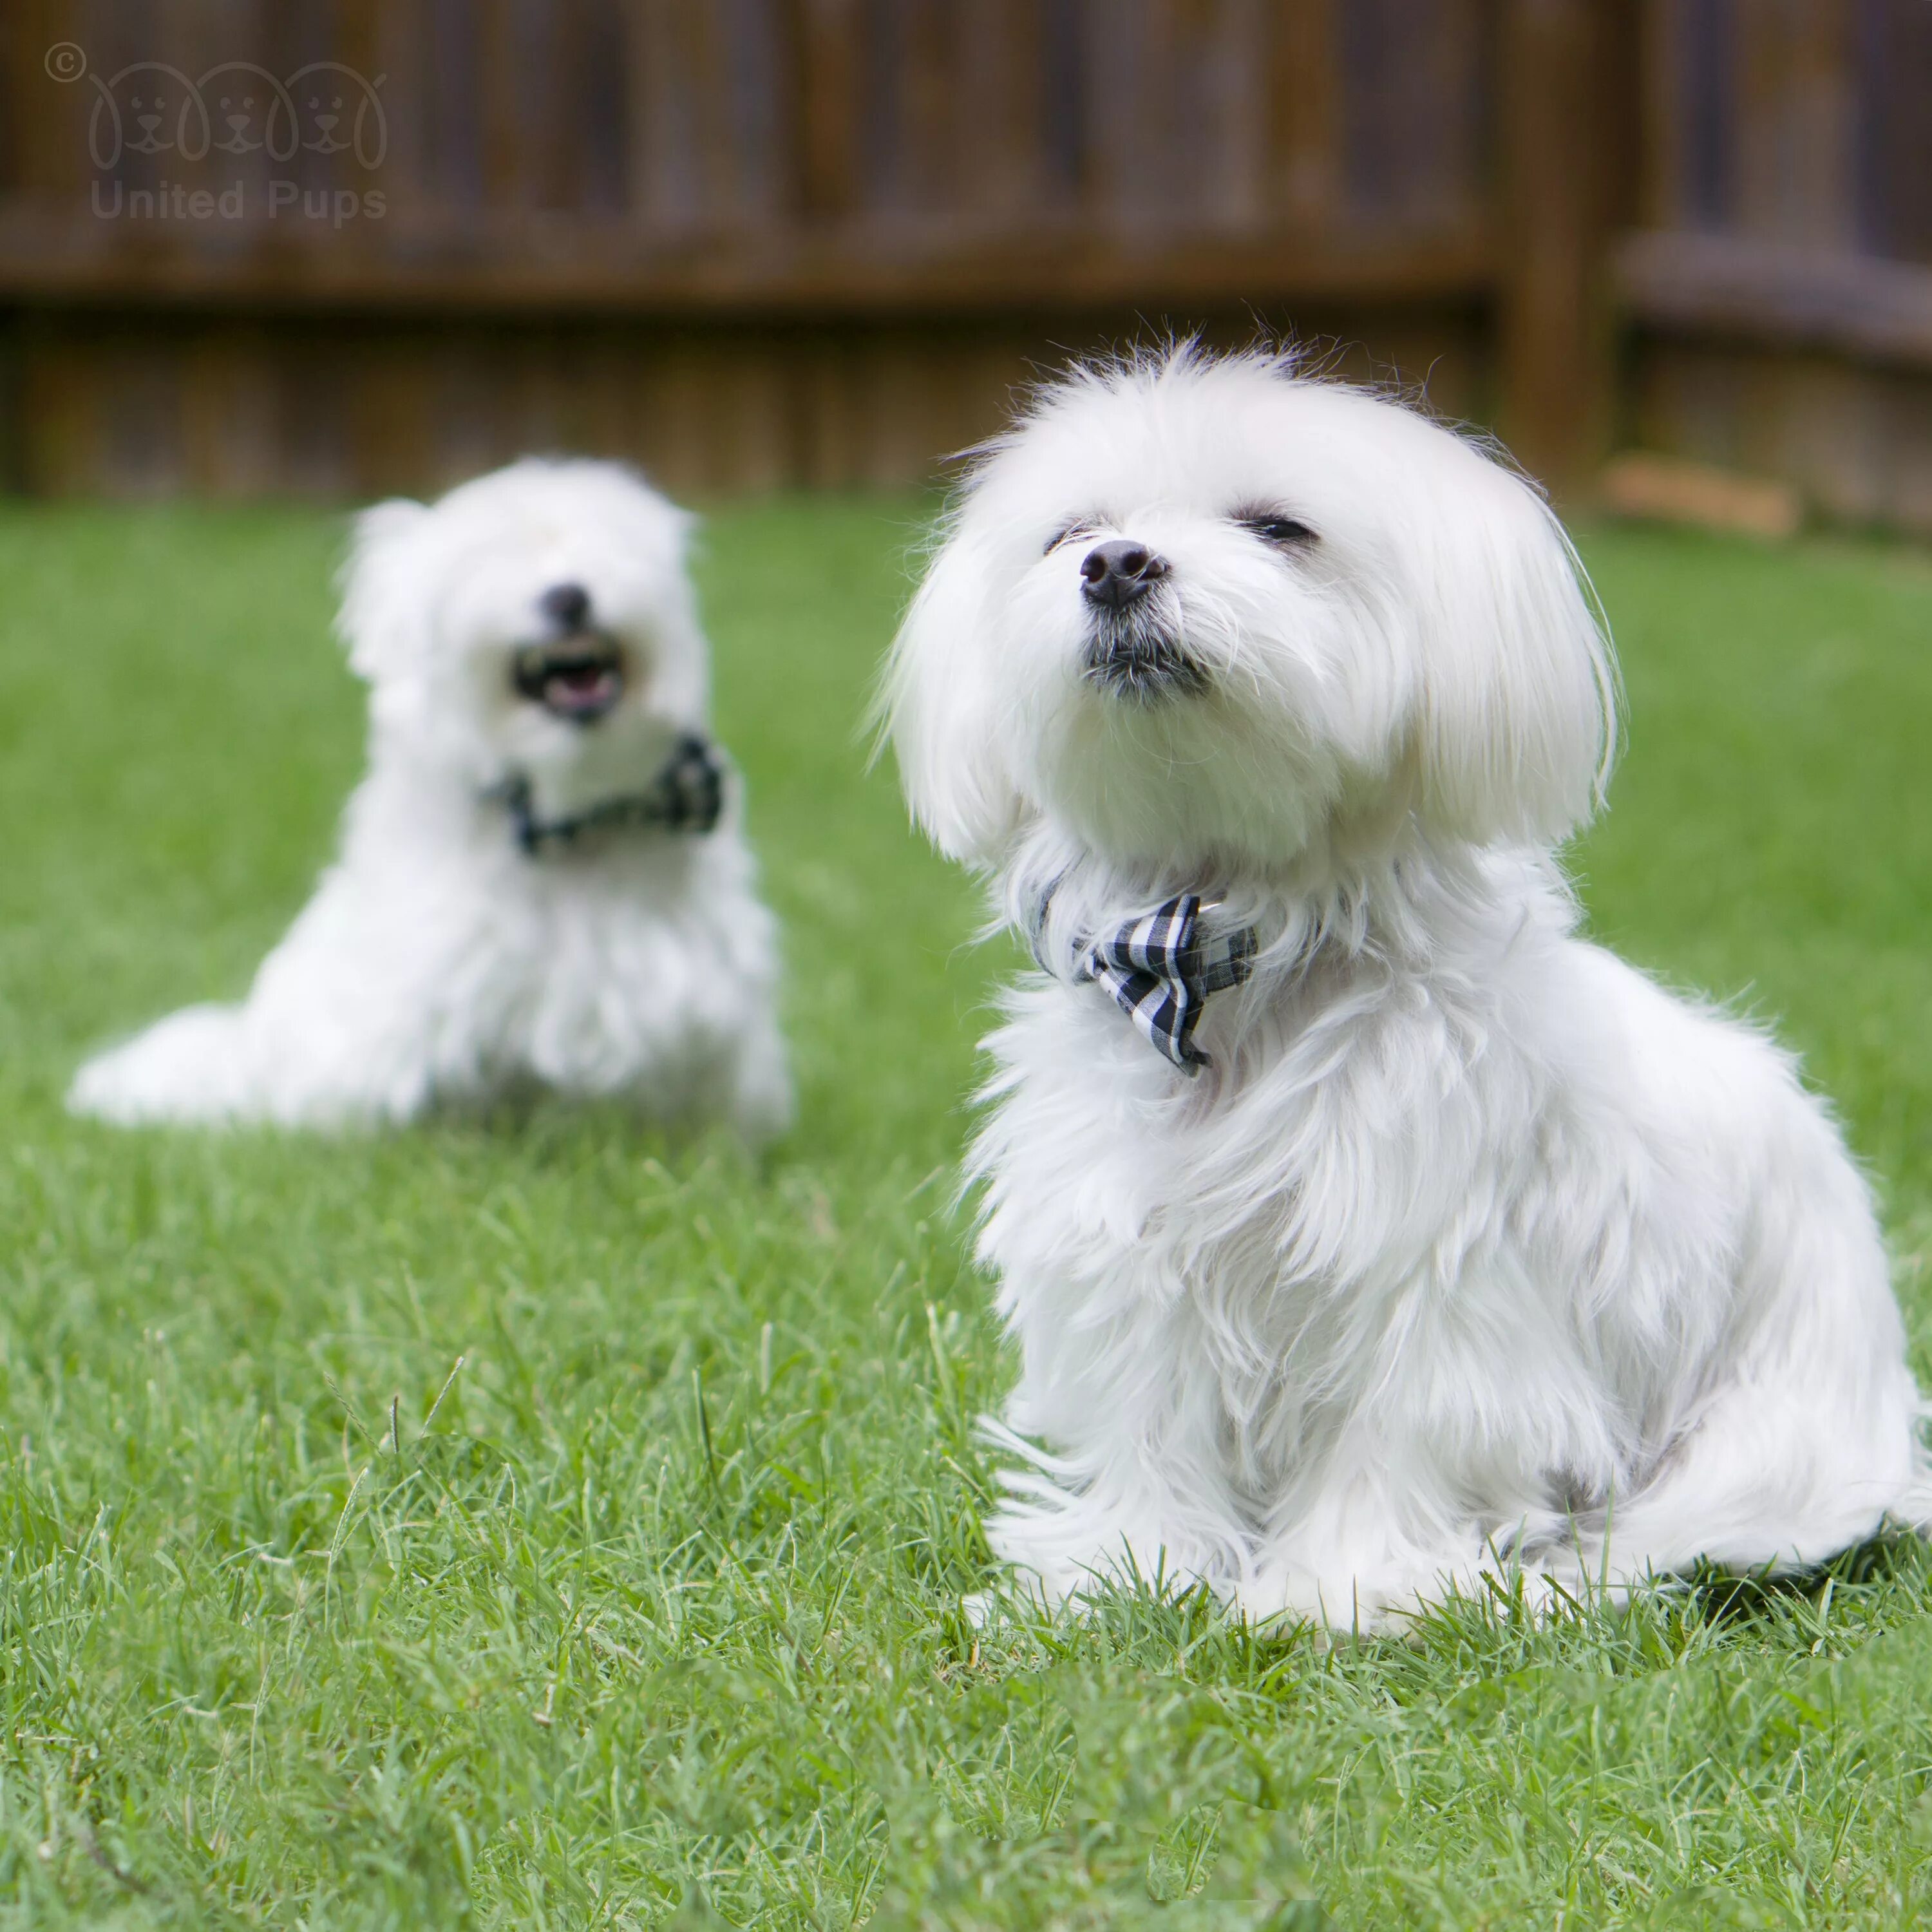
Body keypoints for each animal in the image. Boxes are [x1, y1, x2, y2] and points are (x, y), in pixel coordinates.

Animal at [885, 348, 1924, 1631]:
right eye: (1069, 532)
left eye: (1280, 529)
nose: (1116, 565)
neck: (1227, 966)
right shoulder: (1131, 1251)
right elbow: (1153, 1424)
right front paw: (1128, 1573)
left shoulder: (1431, 1277)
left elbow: (1395, 1433)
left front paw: (1343, 1590)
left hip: (1762, 1450)